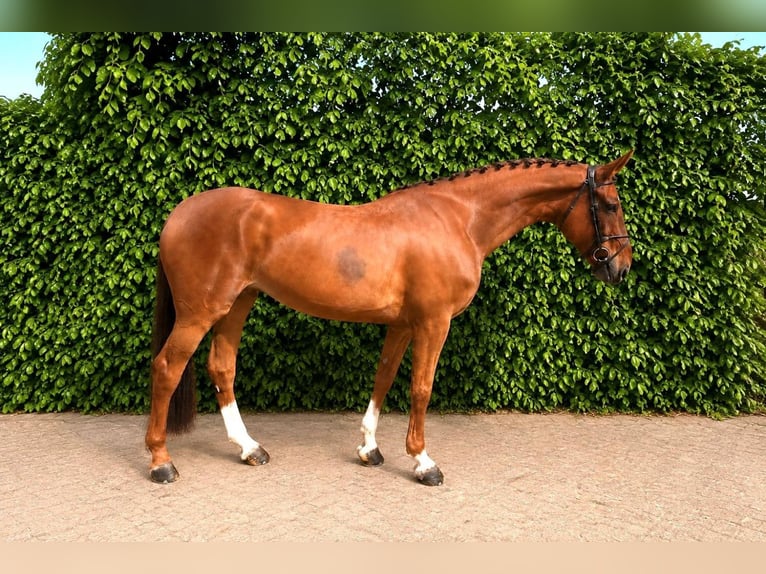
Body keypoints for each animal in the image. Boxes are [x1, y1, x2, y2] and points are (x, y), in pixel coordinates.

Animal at [145, 150, 634, 486]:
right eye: (610, 205)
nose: (621, 267)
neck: (459, 219)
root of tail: (179, 213)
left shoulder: (402, 324)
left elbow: (383, 378)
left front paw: (370, 449)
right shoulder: (434, 323)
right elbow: (421, 388)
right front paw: (423, 462)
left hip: (238, 303)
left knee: (221, 368)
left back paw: (249, 449)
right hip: (201, 311)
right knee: (167, 367)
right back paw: (161, 462)